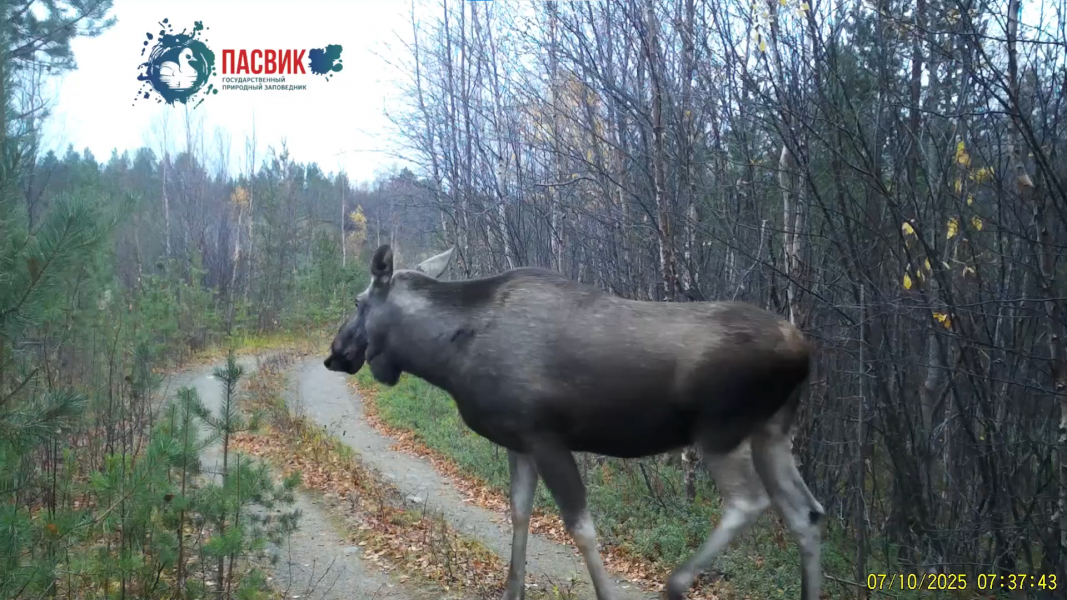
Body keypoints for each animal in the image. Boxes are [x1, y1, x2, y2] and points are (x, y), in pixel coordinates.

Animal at [324, 244, 824, 600]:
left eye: (359, 300)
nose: (335, 353)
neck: (447, 358)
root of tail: (805, 351)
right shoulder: (519, 442)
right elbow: (519, 514)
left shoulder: (546, 437)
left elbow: (580, 528)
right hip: (771, 432)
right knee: (806, 513)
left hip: (720, 430)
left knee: (749, 502)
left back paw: (676, 582)